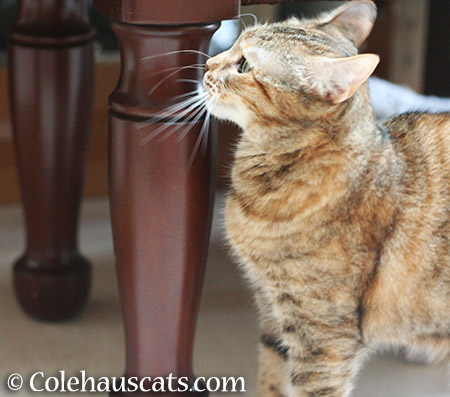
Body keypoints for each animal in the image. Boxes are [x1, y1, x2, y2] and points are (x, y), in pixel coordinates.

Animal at [204, 0, 450, 396]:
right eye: (236, 41)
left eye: (243, 66)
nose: (208, 63)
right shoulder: (272, 313)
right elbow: (271, 381)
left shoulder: (323, 337)